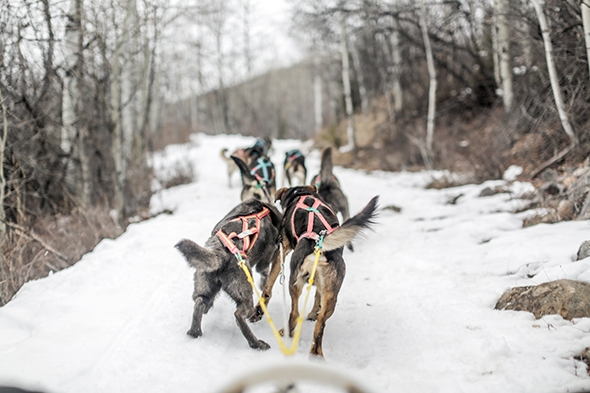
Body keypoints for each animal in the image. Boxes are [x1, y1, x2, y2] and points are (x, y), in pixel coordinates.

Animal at [175, 199, 284, 350]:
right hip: (245, 293)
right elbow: (264, 271)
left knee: (200, 303)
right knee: (239, 316)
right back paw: (256, 344)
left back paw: (194, 332)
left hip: (206, 287)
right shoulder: (266, 256)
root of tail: (219, 252)